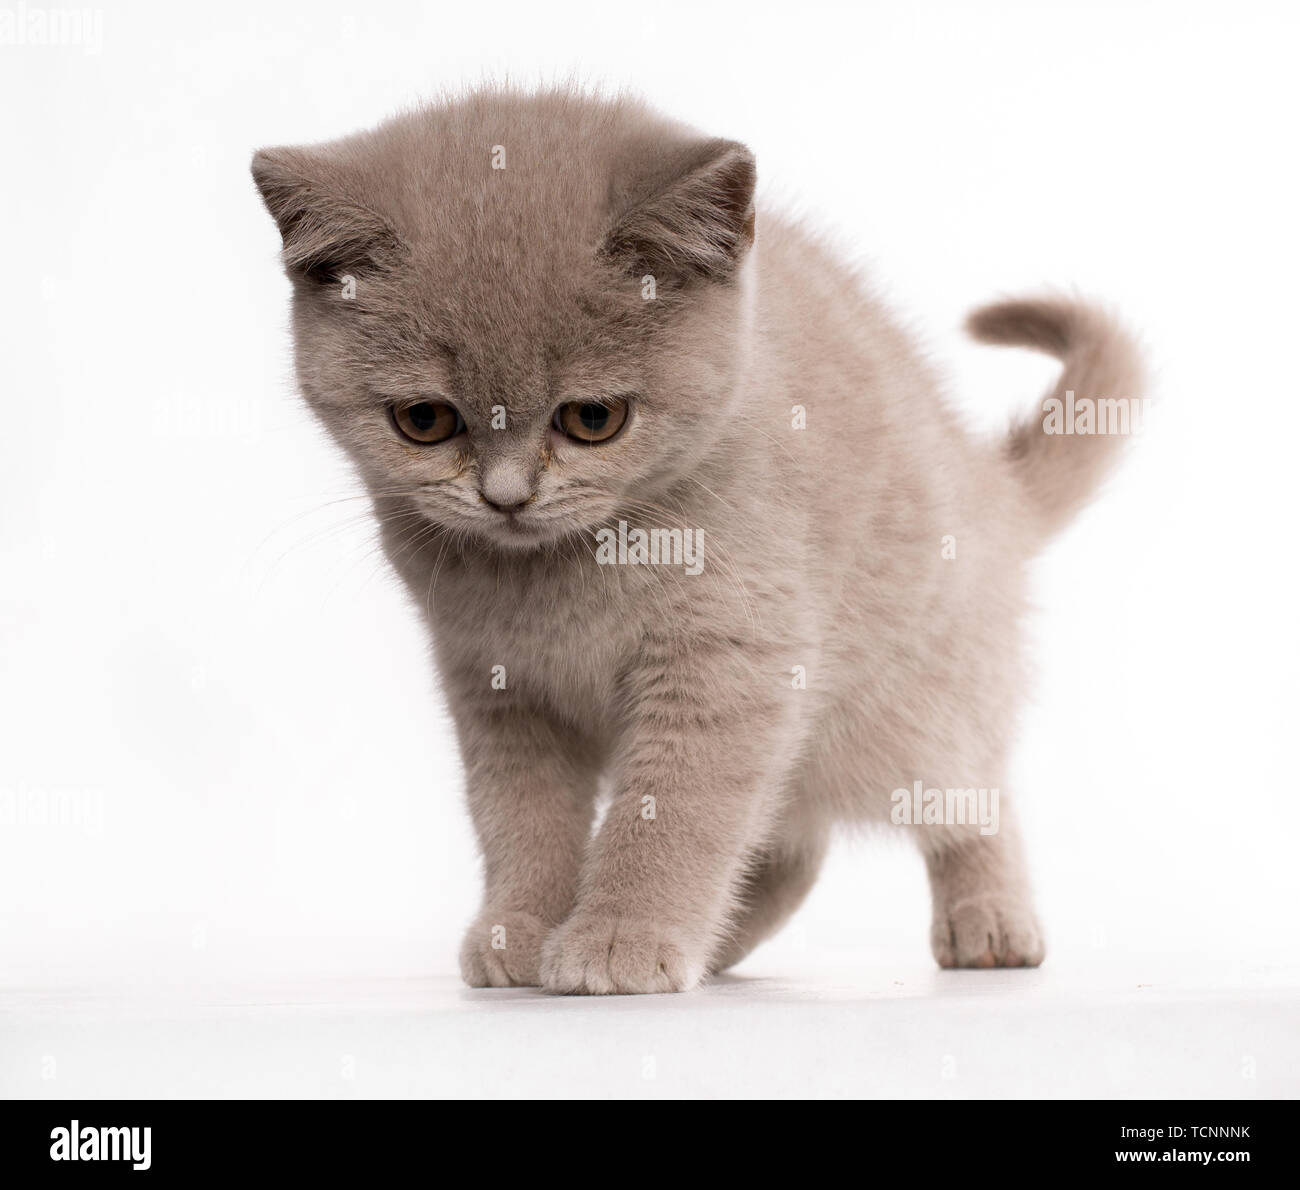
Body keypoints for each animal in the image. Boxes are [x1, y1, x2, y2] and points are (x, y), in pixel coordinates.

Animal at [250, 85, 1138, 993]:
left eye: (592, 418)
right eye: (424, 420)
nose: (507, 496)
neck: (562, 574)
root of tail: (992, 490)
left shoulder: (728, 661)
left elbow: (673, 808)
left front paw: (619, 938)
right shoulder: (498, 686)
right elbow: (521, 815)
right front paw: (521, 929)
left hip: (915, 704)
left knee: (973, 798)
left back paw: (988, 923)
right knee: (792, 845)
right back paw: (720, 941)